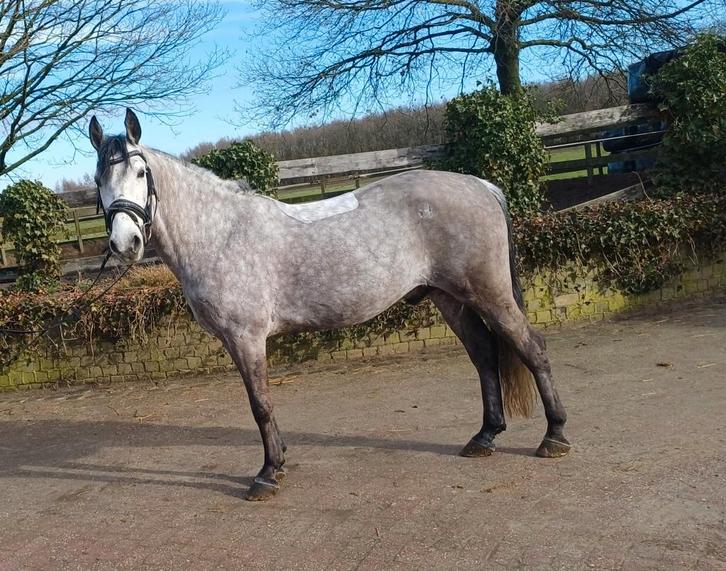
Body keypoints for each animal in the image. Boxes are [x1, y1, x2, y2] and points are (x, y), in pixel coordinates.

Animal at [89, 109, 570, 501]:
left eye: (140, 173)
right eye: (98, 181)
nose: (125, 244)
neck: (221, 233)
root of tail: (480, 185)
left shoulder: (246, 337)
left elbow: (260, 404)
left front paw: (267, 473)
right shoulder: (236, 341)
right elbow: (262, 403)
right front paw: (279, 459)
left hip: (489, 294)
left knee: (532, 348)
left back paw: (555, 436)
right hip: (449, 298)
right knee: (485, 357)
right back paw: (485, 437)